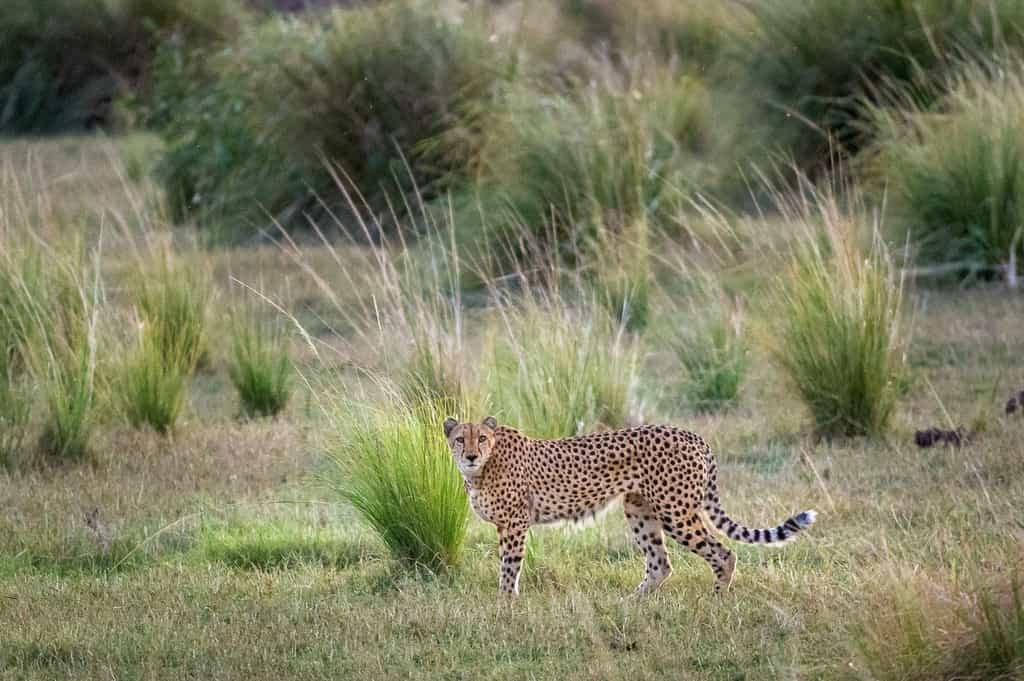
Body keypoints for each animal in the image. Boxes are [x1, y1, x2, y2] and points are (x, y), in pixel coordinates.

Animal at [443, 416, 817, 597]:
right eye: (461, 438)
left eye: (482, 438)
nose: (471, 455)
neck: (481, 469)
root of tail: (692, 434)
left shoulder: (514, 523)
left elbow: (509, 566)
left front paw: (505, 603)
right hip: (639, 510)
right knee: (660, 564)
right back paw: (630, 604)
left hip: (675, 511)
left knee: (722, 552)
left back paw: (717, 601)